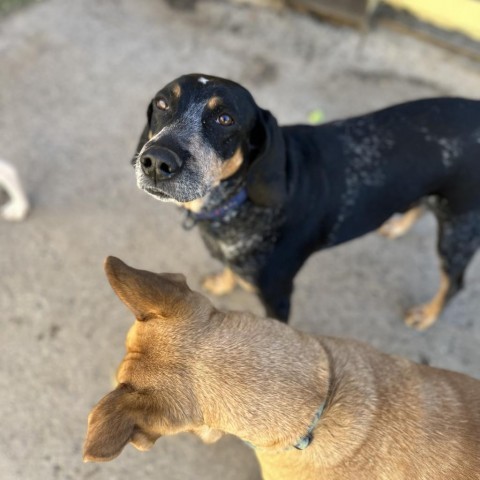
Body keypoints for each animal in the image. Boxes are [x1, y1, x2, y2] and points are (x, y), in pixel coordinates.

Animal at [131, 74, 480, 330]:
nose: (156, 161)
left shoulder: (278, 295)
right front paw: (224, 281)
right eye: (162, 103)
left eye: (225, 119)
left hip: (458, 231)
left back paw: (427, 314)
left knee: (454, 282)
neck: (235, 203)